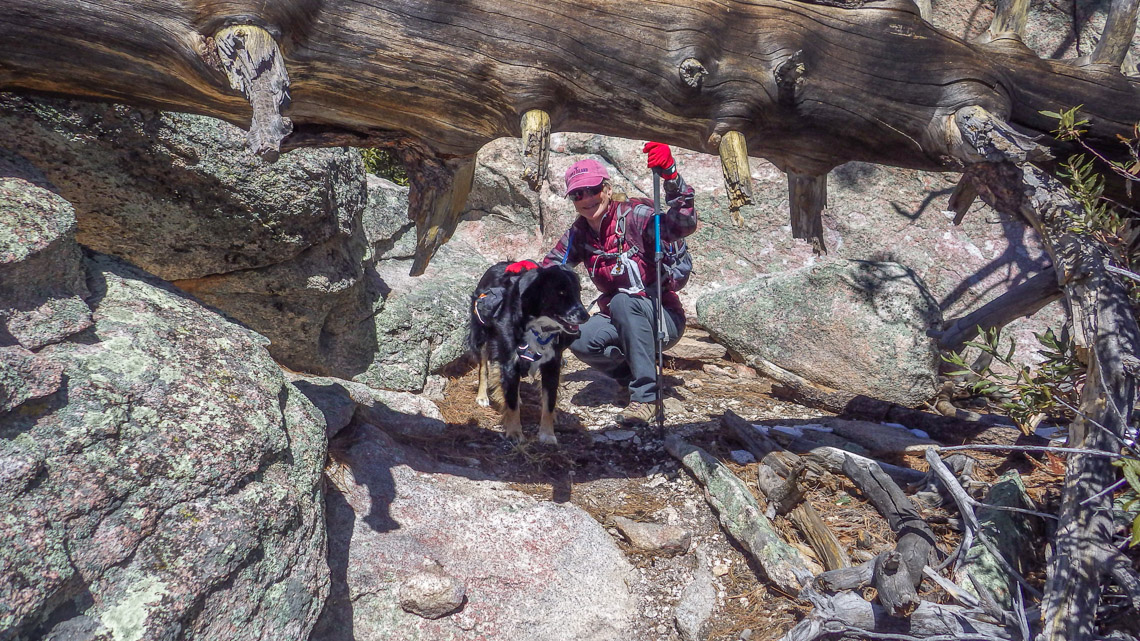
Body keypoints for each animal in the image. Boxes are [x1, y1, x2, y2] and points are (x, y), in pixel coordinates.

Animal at [467, 261, 589, 445]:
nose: (585, 316)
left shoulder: (552, 364)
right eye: (560, 293)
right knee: (483, 368)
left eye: (578, 291)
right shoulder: (510, 362)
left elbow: (549, 402)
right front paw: (514, 432)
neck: (538, 325)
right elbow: (511, 404)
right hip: (482, 335)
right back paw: (482, 396)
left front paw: (547, 435)